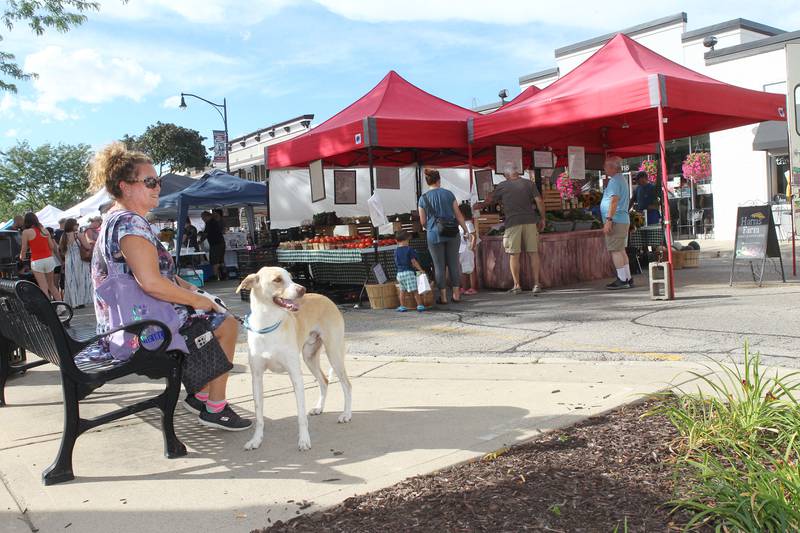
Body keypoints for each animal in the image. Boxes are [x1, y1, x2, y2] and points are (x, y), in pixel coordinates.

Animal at [236, 266, 352, 448]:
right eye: (277, 279)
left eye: (291, 277)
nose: (302, 289)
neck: (268, 326)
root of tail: (325, 297)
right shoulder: (256, 377)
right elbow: (259, 415)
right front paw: (256, 440)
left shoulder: (295, 375)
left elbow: (301, 416)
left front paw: (304, 440)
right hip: (309, 356)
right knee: (324, 381)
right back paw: (319, 408)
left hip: (334, 353)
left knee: (347, 385)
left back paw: (346, 414)